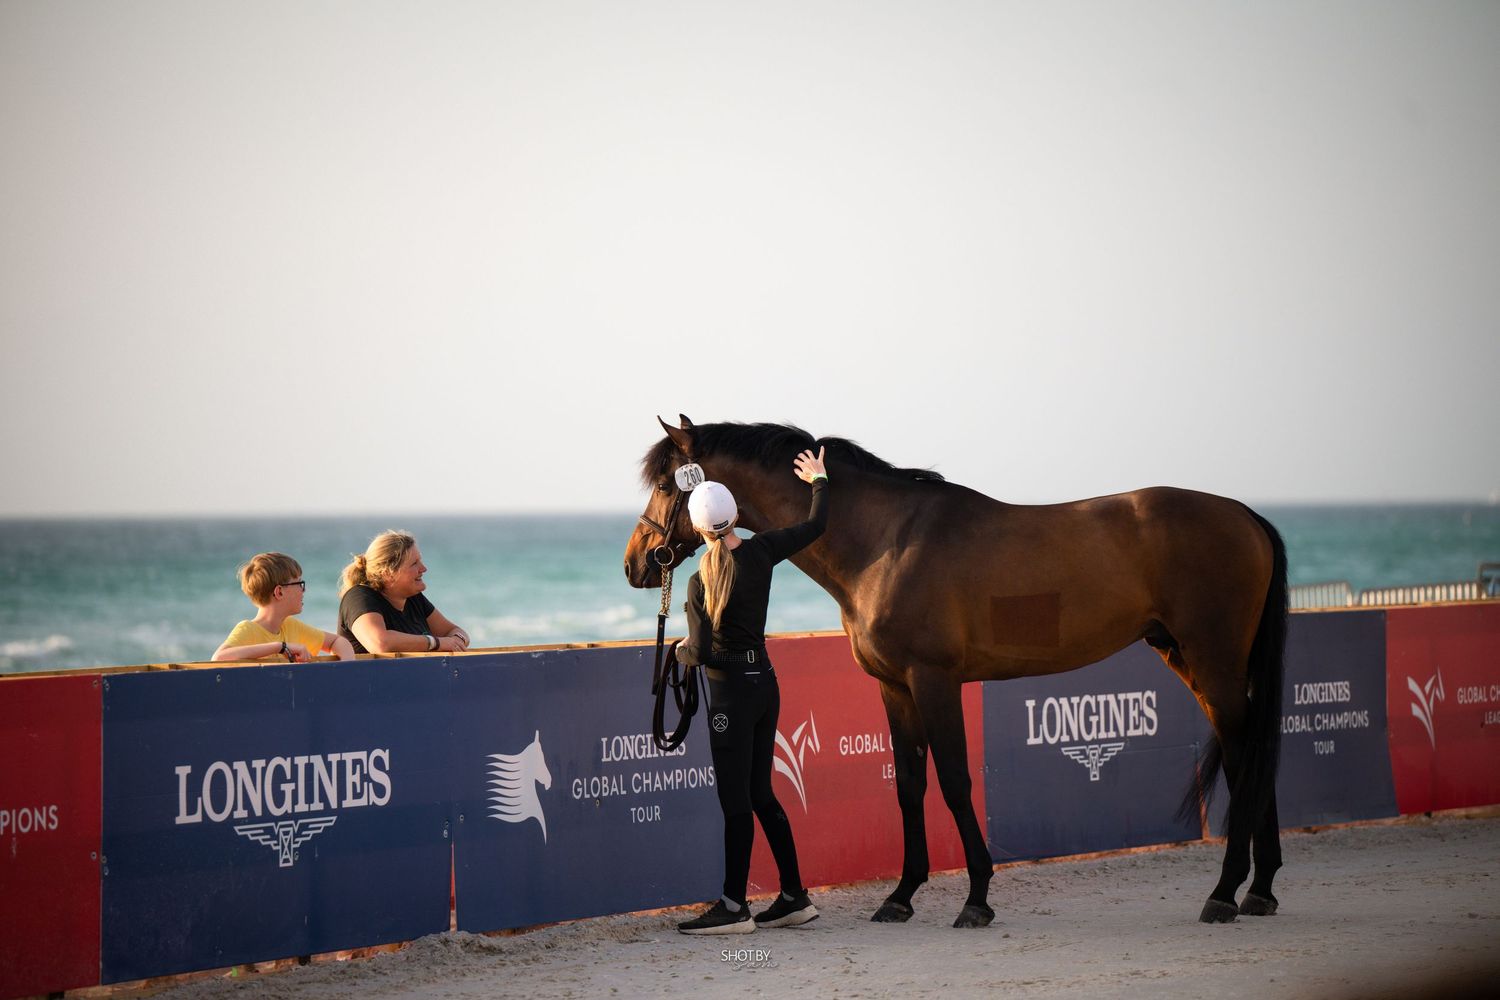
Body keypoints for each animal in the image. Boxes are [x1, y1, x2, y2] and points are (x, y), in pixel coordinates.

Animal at [624, 416, 1287, 929]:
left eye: (663, 482)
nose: (636, 562)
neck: (884, 542)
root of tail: (1245, 514)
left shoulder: (934, 681)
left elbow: (954, 782)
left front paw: (976, 899)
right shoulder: (895, 687)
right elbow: (909, 785)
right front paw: (900, 896)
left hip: (1213, 661)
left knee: (1247, 752)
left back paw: (1225, 893)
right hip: (1189, 660)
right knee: (1250, 752)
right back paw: (1259, 889)